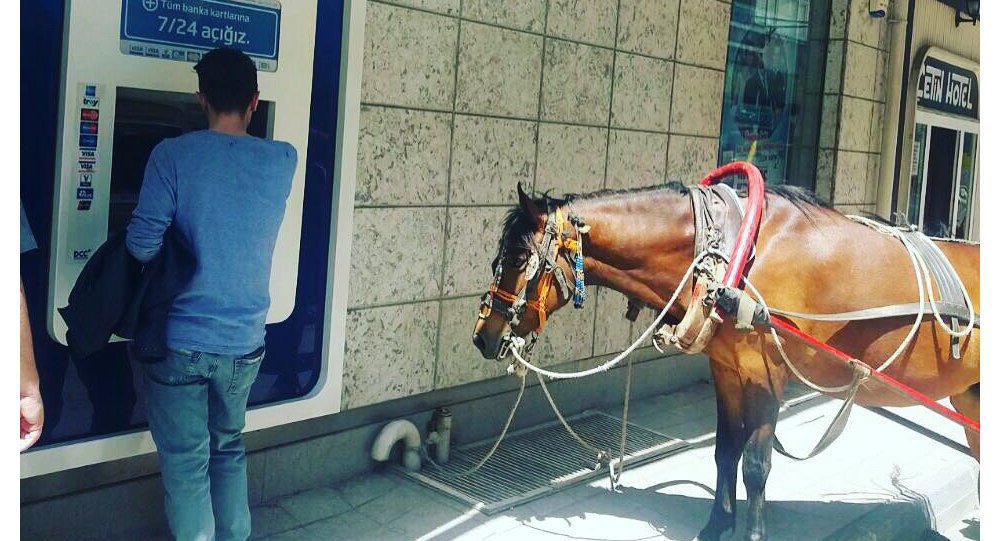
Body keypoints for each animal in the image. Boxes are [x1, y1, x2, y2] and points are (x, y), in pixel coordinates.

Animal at [472, 180, 980, 540]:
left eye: (518, 257)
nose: (483, 336)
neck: (730, 258)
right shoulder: (728, 372)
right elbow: (724, 451)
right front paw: (717, 523)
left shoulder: (765, 375)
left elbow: (755, 463)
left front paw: (751, 532)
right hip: (970, 397)